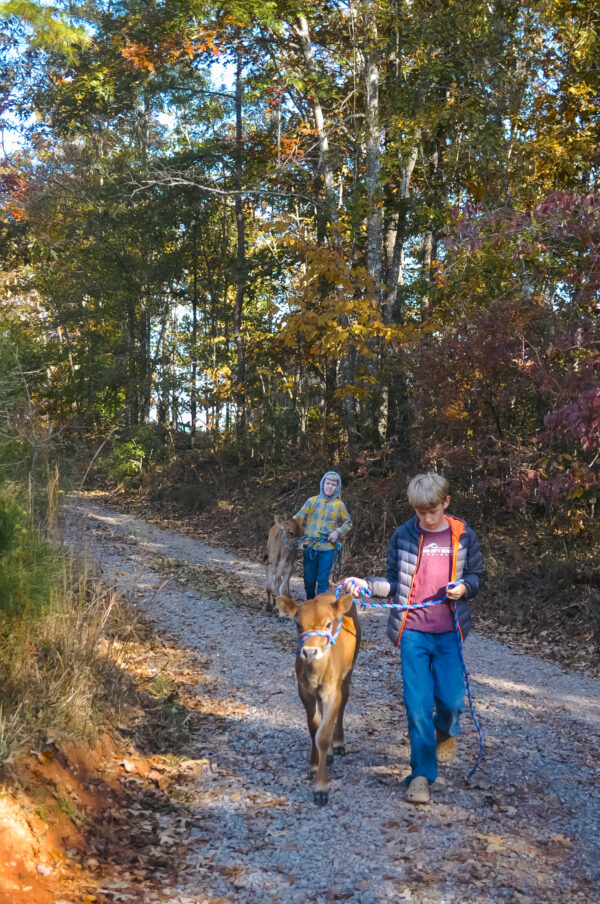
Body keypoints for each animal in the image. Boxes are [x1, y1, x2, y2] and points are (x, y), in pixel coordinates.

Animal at [276, 588, 360, 808]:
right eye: (298, 624)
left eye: (329, 624)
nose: (310, 652)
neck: (316, 674)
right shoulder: (304, 691)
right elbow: (314, 728)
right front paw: (314, 767)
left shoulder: (333, 692)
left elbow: (322, 735)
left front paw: (321, 788)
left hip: (348, 671)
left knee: (343, 705)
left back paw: (337, 743)